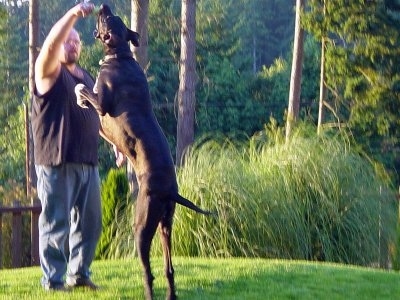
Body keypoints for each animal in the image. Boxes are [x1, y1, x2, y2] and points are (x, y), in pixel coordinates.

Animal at [75, 4, 212, 300]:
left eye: (108, 19)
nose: (104, 6)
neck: (121, 55)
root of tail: (170, 191)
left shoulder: (102, 104)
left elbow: (86, 90)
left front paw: (79, 94)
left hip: (142, 226)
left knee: (148, 272)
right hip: (165, 224)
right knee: (169, 268)